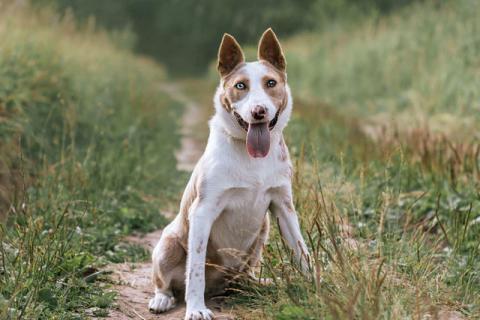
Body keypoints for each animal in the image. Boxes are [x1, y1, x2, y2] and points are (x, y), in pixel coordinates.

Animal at [148, 28, 310, 318]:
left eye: (271, 83)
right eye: (240, 86)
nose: (259, 111)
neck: (251, 157)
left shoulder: (283, 207)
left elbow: (302, 252)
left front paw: (318, 287)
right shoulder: (203, 211)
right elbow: (195, 269)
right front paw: (196, 309)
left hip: (260, 236)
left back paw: (258, 285)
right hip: (168, 243)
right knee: (165, 282)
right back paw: (162, 300)